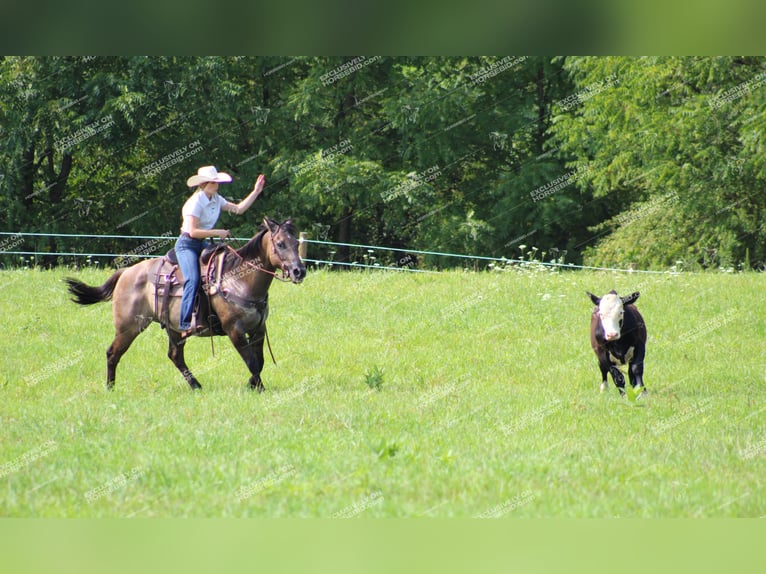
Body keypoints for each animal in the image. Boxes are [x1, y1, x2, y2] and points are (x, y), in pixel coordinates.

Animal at [65, 218, 306, 394]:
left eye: (296, 244)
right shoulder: (234, 330)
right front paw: (258, 388)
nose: (299, 271)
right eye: (280, 244)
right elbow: (252, 362)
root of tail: (126, 272)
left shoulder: (258, 329)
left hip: (173, 328)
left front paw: (252, 384)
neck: (238, 280)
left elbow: (260, 361)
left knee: (175, 356)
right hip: (128, 327)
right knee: (112, 353)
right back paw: (110, 388)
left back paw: (196, 386)